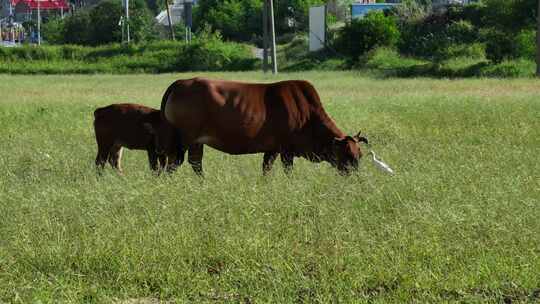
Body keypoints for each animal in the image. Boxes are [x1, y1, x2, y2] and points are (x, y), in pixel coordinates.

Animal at [159, 77, 368, 175]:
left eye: (359, 155)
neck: (308, 115)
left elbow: (266, 169)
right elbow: (287, 171)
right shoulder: (286, 151)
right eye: (348, 155)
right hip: (183, 140)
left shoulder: (272, 150)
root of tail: (181, 82)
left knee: (195, 163)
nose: (355, 177)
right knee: (174, 163)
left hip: (196, 142)